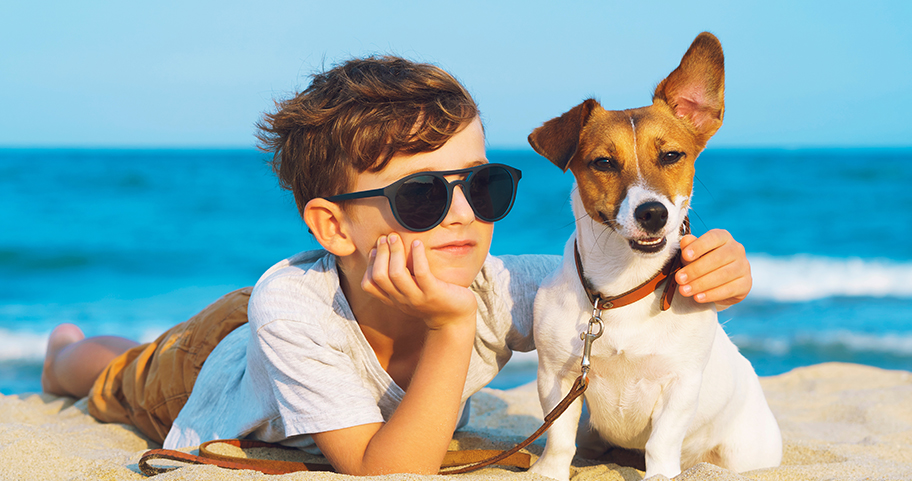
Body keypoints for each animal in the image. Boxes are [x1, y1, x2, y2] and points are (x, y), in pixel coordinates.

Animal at [528, 31, 784, 478]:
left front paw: (661, 472)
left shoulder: (680, 386)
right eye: (604, 162)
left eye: (670, 156)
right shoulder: (557, 377)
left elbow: (662, 442)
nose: (652, 213)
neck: (622, 288)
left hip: (745, 452)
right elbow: (558, 436)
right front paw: (550, 471)